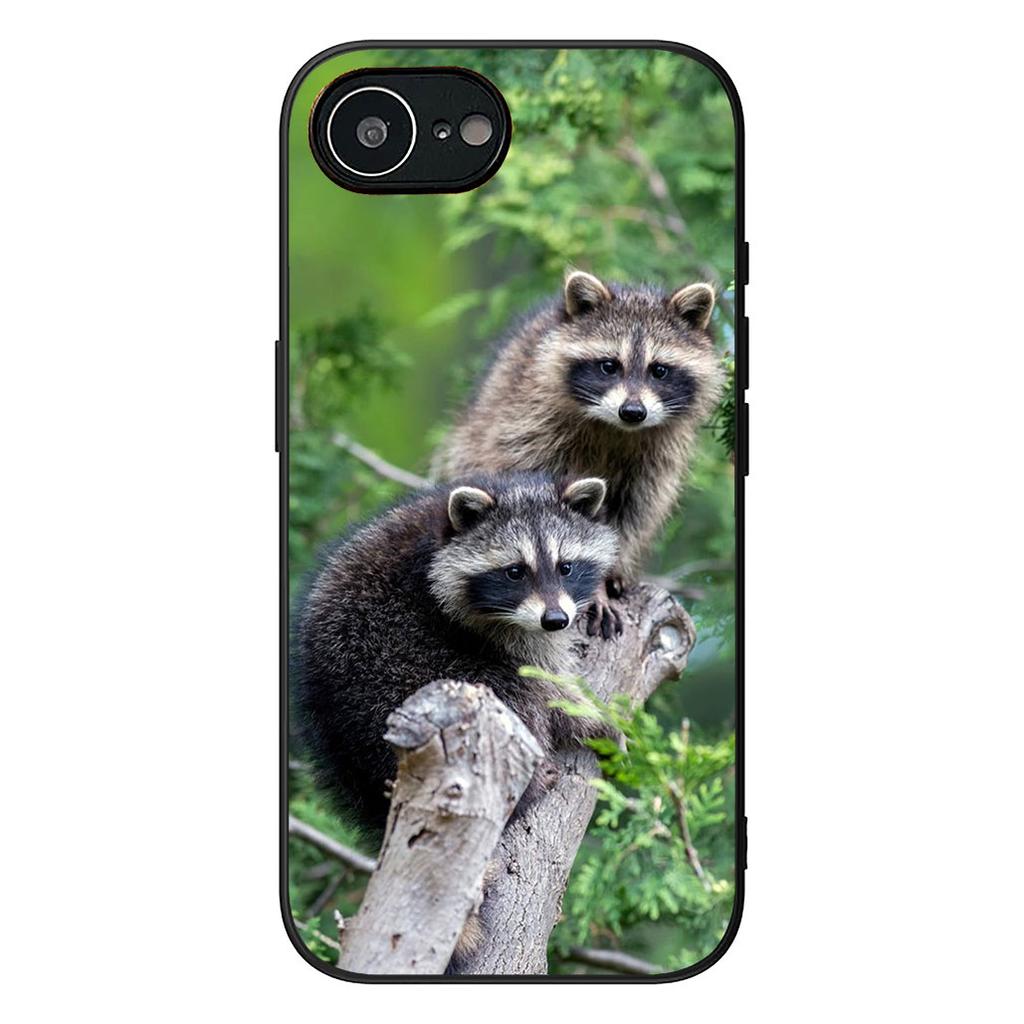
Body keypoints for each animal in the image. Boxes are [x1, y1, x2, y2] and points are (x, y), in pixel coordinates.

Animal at [291, 471, 619, 835]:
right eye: (515, 571)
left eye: (566, 567)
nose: (556, 620)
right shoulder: (488, 626)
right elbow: (545, 681)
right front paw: (591, 717)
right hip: (412, 670)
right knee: (517, 694)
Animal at [432, 270, 725, 638]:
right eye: (609, 366)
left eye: (659, 370)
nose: (633, 411)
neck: (617, 428)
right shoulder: (529, 426)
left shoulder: (657, 457)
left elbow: (634, 513)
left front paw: (605, 576)